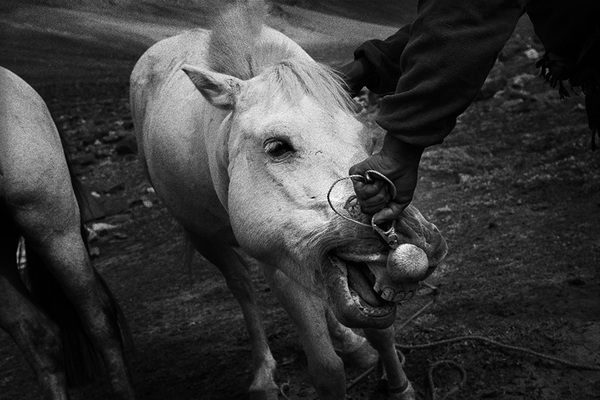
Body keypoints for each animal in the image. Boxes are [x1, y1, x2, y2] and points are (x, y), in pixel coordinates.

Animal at [130, 1, 446, 398]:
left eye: (369, 139)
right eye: (277, 147)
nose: (408, 234)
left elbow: (380, 330)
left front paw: (399, 385)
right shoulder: (278, 260)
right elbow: (326, 370)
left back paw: (349, 343)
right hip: (205, 237)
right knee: (242, 287)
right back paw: (264, 374)